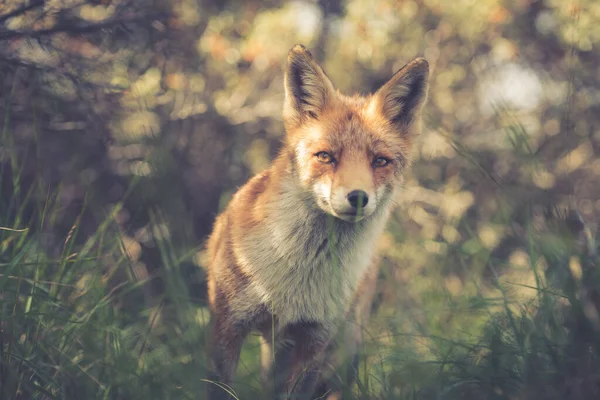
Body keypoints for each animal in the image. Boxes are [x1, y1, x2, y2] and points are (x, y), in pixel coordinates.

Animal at [204, 44, 428, 400]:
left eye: (380, 161)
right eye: (325, 156)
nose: (358, 197)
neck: (295, 278)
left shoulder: (315, 341)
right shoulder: (228, 327)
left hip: (343, 347)